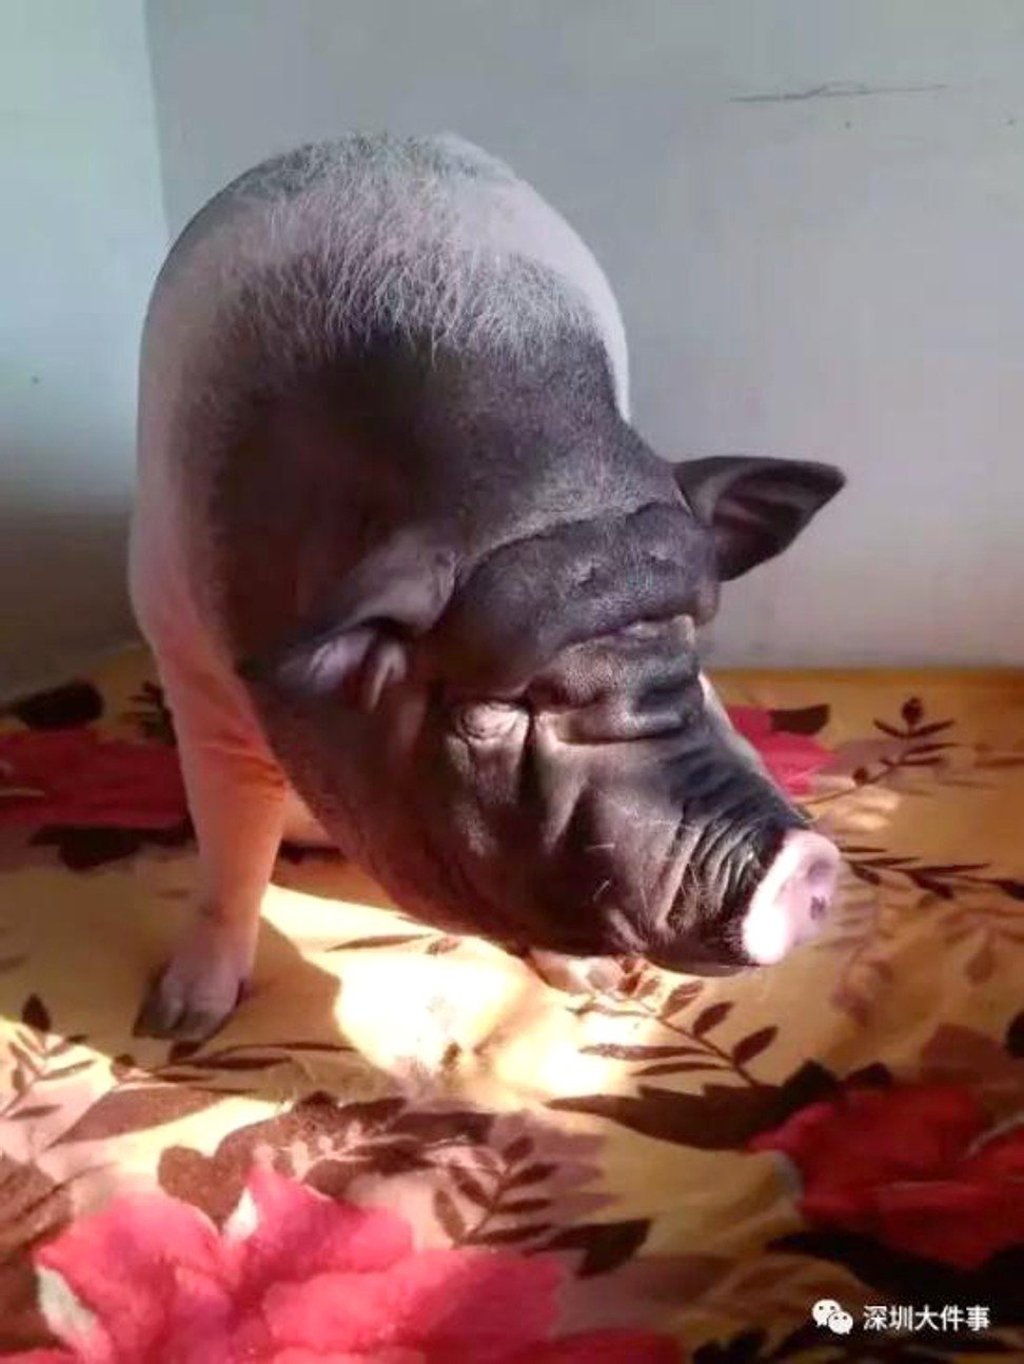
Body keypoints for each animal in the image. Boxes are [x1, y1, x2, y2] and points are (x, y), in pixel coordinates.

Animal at [130, 133, 844, 1041]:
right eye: (495, 710)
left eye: (696, 648)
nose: (809, 861)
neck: (533, 472)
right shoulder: (191, 663)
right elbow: (231, 849)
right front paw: (174, 1027)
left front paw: (596, 987)